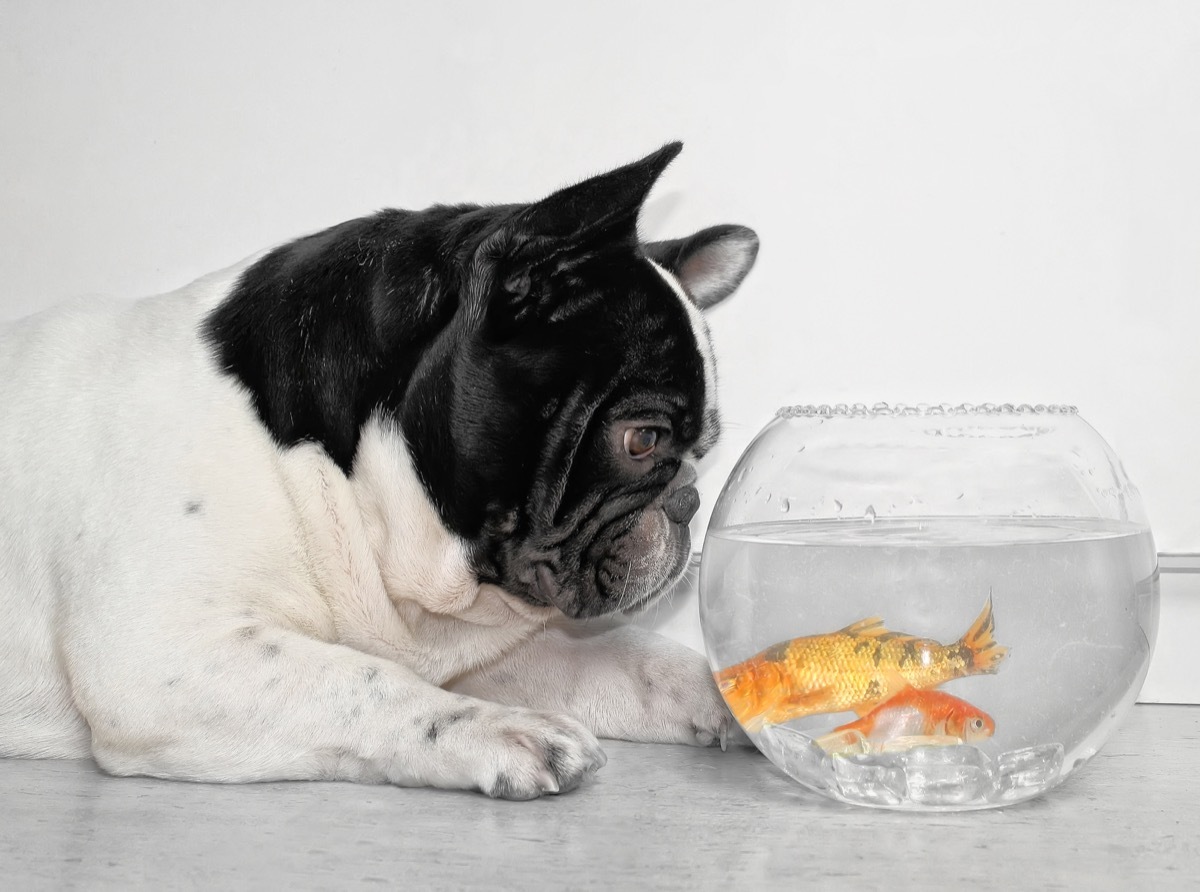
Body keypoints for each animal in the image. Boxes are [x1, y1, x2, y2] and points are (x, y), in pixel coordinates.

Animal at [0, 142, 758, 797]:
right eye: (642, 441)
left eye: (703, 450)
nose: (688, 499)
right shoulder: (162, 659)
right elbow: (360, 682)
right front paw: (496, 730)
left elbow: (630, 658)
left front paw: (732, 686)